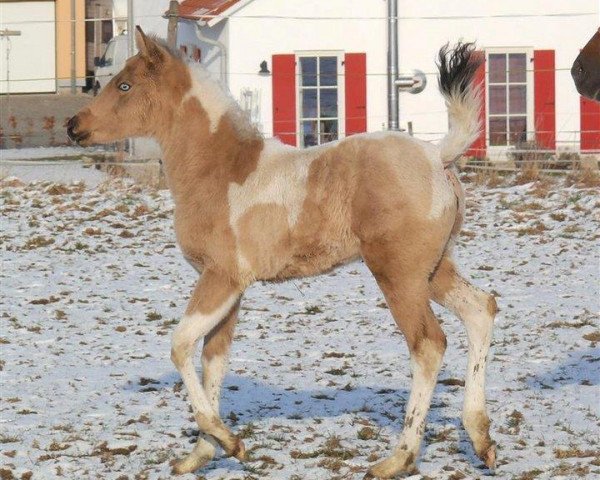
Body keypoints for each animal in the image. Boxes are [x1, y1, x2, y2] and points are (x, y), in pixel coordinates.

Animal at [65, 29, 496, 476]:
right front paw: (201, 454)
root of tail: (437, 157)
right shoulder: (230, 289)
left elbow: (180, 346)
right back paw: (480, 438)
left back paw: (398, 458)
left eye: (125, 85)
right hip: (434, 270)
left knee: (428, 345)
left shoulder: (220, 278)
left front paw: (230, 443)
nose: (73, 126)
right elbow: (213, 359)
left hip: (399, 275)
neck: (222, 170)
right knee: (481, 310)